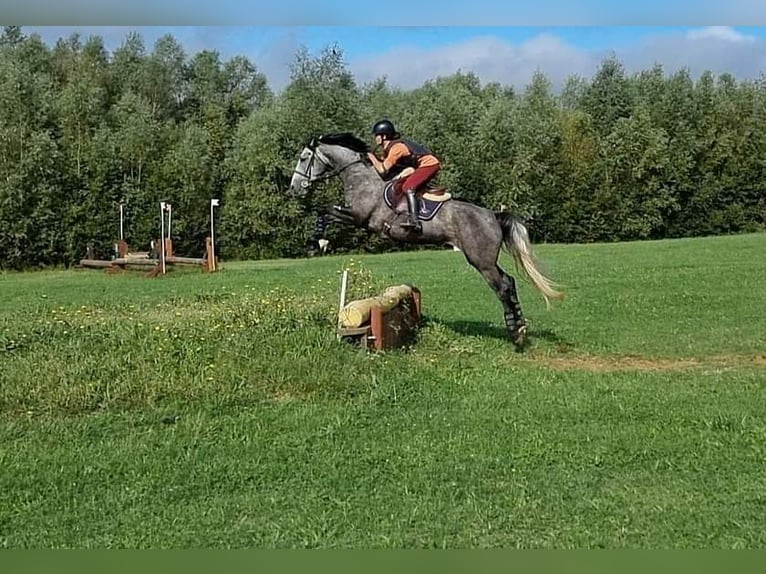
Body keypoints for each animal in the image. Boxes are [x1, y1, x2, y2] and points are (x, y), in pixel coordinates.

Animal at [288, 132, 564, 346]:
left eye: (303, 158)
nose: (294, 188)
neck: (360, 177)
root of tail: (493, 215)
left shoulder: (359, 218)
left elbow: (323, 211)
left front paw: (317, 243)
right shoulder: (355, 217)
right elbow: (323, 212)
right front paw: (319, 242)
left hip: (480, 260)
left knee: (503, 287)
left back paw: (515, 333)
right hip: (485, 259)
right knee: (509, 281)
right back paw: (521, 327)